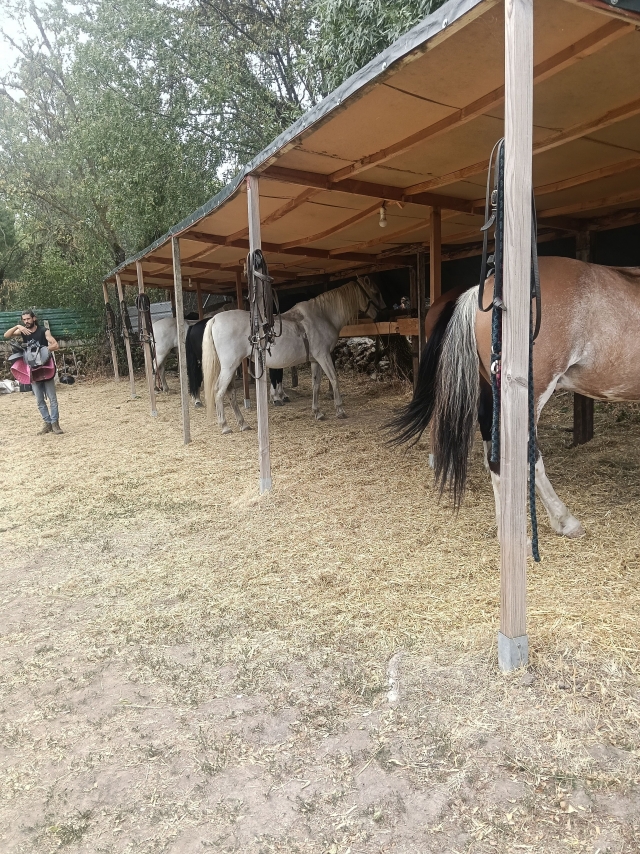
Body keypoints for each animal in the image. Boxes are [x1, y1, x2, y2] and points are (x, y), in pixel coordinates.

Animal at [202, 277, 385, 433]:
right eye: (376, 293)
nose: (384, 313)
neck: (322, 316)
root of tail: (215, 319)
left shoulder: (315, 360)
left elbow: (316, 384)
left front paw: (317, 412)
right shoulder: (324, 356)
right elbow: (334, 379)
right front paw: (340, 410)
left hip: (233, 366)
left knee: (230, 392)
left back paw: (243, 423)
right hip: (229, 366)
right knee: (219, 391)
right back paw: (225, 426)